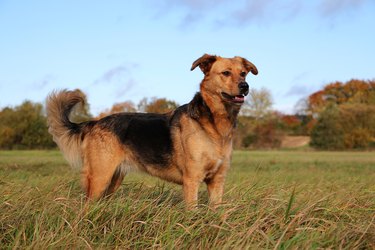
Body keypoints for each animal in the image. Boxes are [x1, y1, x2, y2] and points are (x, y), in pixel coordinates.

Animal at [47, 53, 258, 208]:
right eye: (226, 73)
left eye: (243, 73)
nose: (245, 86)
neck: (214, 125)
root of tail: (94, 123)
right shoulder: (192, 181)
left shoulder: (217, 182)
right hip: (99, 178)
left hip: (113, 179)